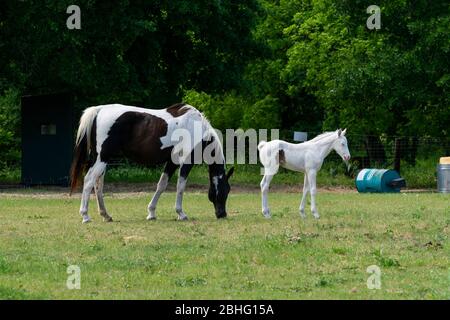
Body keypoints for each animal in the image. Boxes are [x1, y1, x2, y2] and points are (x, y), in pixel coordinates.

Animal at [69, 104, 236, 224]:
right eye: (226, 190)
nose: (222, 214)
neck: (197, 128)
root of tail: (99, 110)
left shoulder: (172, 162)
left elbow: (161, 185)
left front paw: (151, 213)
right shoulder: (186, 162)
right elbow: (180, 187)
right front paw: (181, 213)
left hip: (103, 159)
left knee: (98, 184)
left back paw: (106, 215)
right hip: (102, 158)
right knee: (89, 180)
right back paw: (85, 216)